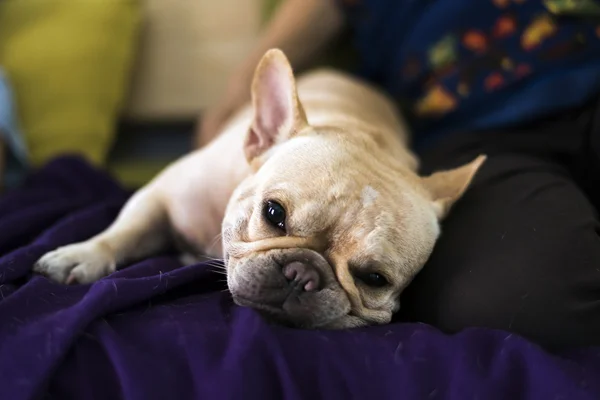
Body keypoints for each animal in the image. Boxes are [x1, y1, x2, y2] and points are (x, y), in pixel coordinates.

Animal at [31, 49, 482, 328]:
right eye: (274, 214)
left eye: (374, 278)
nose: (303, 273)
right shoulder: (161, 194)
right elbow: (124, 230)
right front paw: (82, 255)